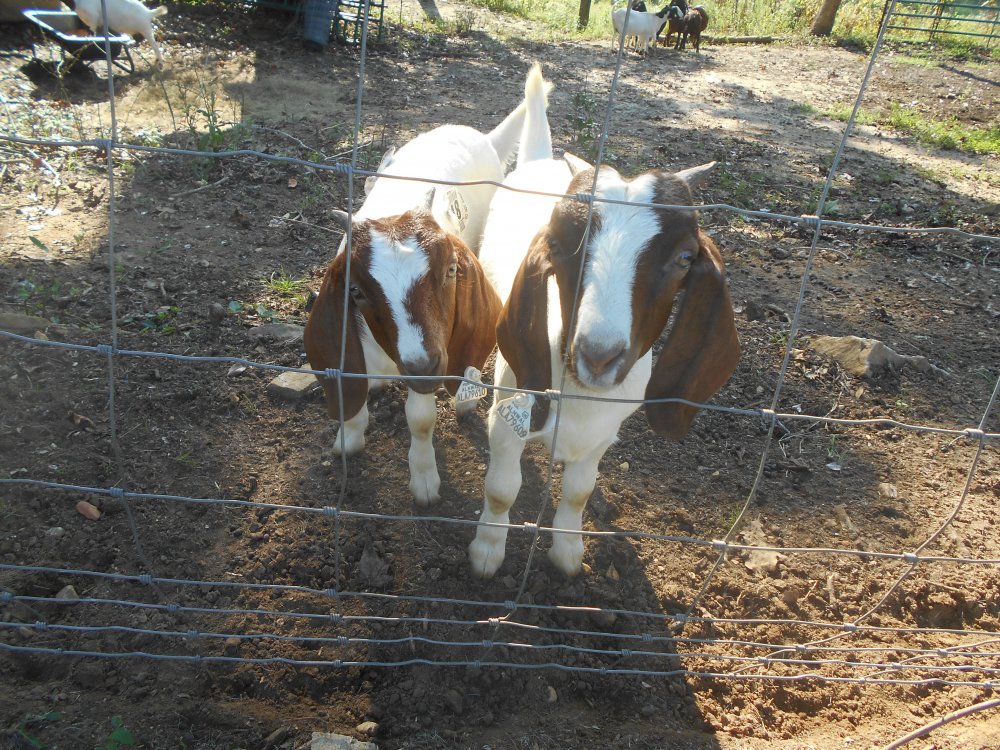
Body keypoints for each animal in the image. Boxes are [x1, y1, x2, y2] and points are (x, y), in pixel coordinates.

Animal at [304, 66, 556, 512]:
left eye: (451, 270)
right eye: (357, 292)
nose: (423, 366)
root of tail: (481, 136)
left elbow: (420, 419)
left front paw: (423, 479)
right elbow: (350, 385)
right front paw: (348, 437)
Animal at [466, 138, 736, 580]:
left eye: (684, 258)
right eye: (555, 245)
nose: (597, 356)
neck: (580, 396)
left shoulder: (601, 438)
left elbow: (579, 492)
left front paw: (568, 553)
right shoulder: (509, 419)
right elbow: (502, 490)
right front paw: (486, 553)